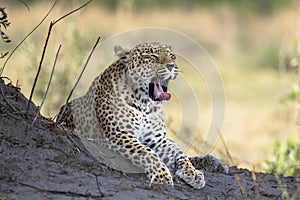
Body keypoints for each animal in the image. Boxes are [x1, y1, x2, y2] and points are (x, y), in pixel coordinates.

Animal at [56, 41, 206, 189]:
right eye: (152, 56)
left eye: (172, 56)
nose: (171, 65)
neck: (145, 105)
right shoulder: (120, 135)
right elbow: (147, 153)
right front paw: (161, 176)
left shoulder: (157, 140)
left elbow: (178, 151)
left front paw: (193, 173)